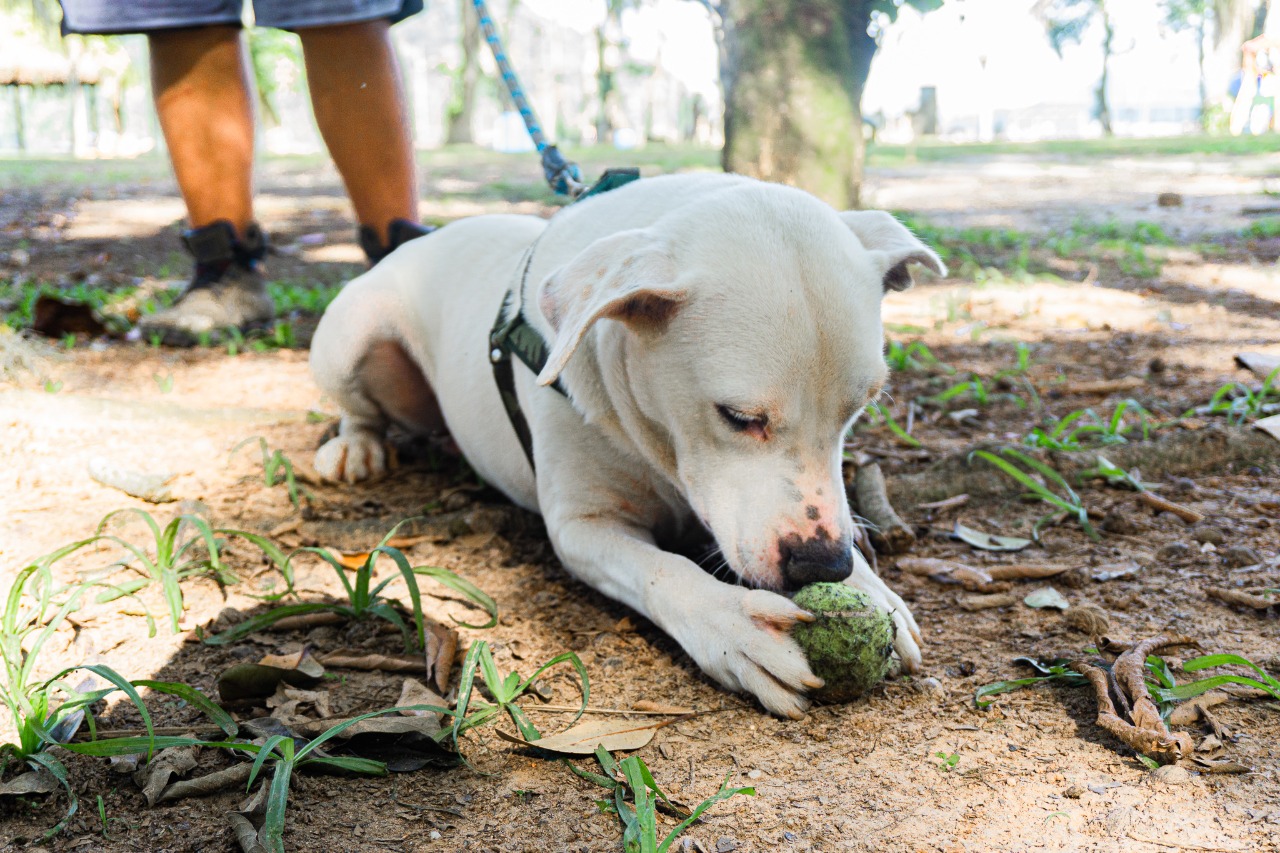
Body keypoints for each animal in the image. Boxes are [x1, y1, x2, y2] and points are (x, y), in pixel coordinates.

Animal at [309, 174, 947, 717]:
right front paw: (734, 627)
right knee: (359, 409)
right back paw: (354, 447)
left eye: (859, 409)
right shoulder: (581, 527)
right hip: (351, 339)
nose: (824, 564)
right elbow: (662, 570)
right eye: (738, 417)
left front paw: (870, 587)